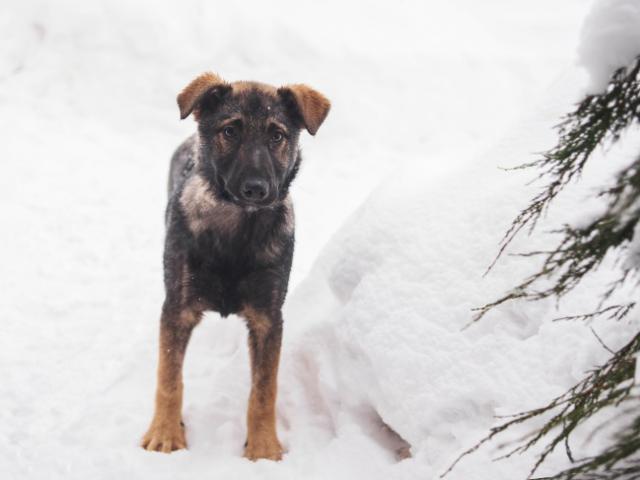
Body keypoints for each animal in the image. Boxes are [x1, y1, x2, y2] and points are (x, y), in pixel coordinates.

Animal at [140, 72, 330, 462]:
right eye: (230, 131)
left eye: (277, 135)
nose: (256, 189)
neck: (238, 230)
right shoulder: (178, 307)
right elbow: (169, 377)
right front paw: (165, 433)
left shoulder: (268, 316)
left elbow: (264, 390)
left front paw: (263, 447)